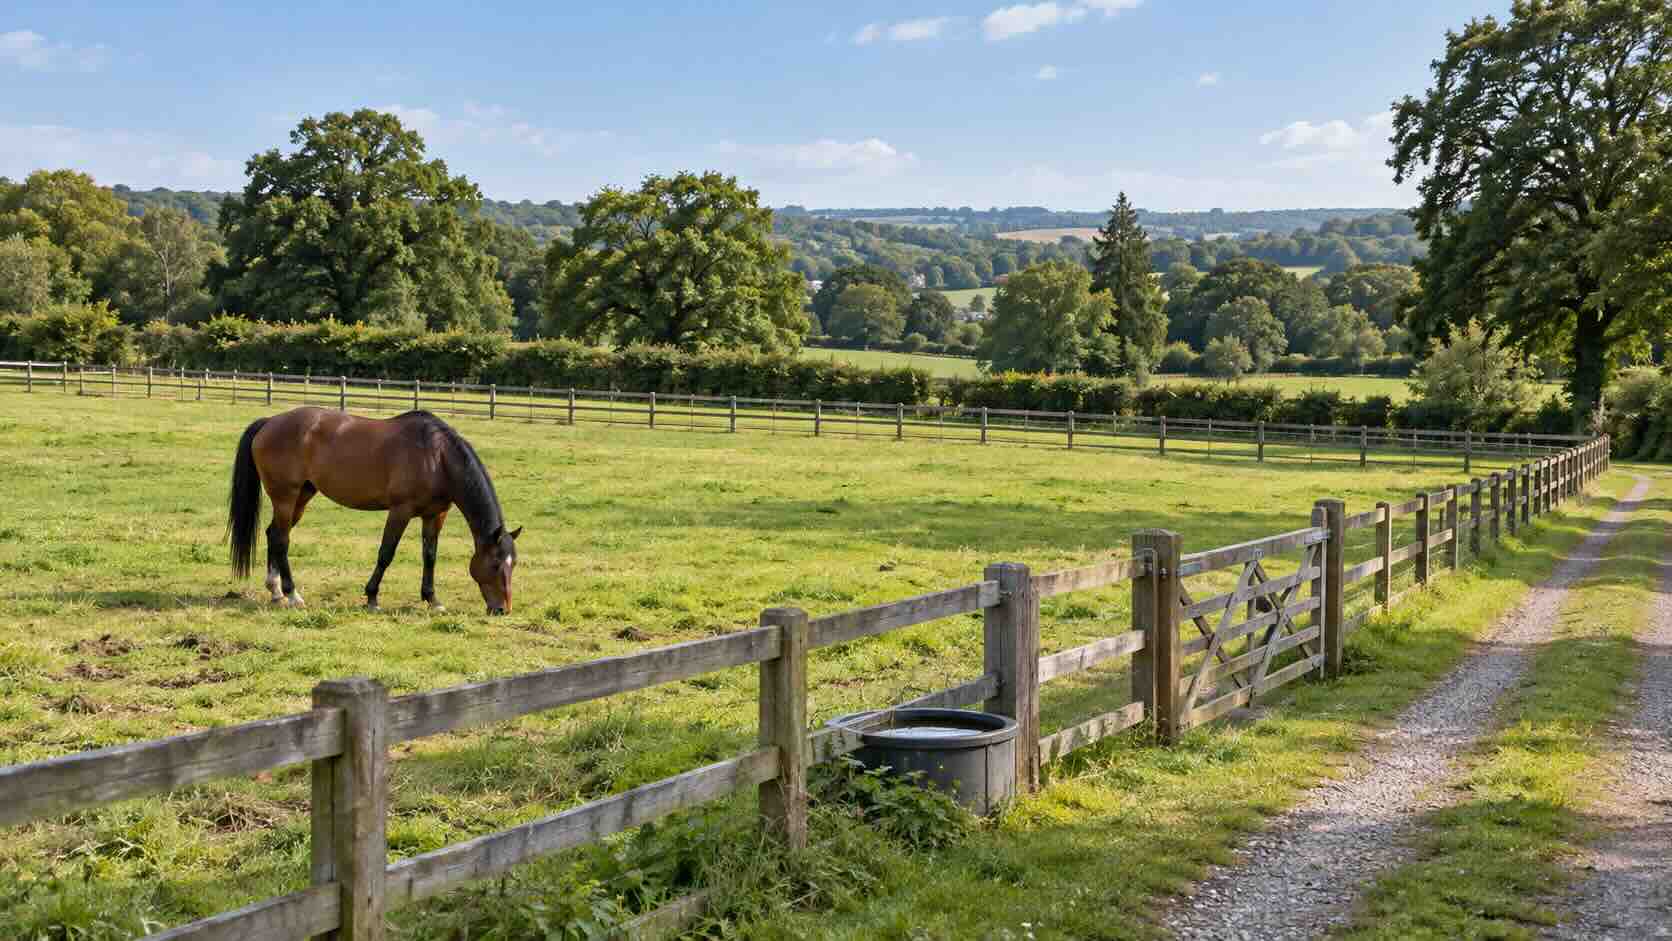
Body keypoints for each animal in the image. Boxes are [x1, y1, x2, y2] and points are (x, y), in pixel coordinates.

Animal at [227, 407, 522, 614]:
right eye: (495, 564)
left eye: (513, 564)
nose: (502, 610)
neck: (437, 457)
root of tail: (270, 422)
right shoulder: (400, 511)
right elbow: (386, 554)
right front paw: (371, 597)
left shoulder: (435, 515)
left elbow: (430, 556)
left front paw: (432, 599)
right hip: (286, 497)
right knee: (281, 539)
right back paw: (292, 594)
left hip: (302, 496)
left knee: (273, 534)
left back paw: (275, 591)